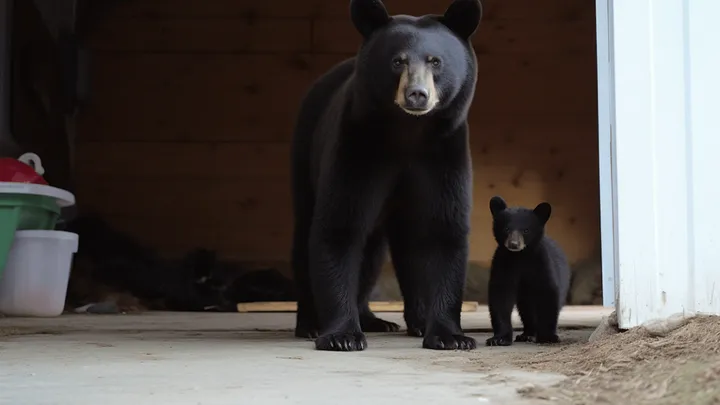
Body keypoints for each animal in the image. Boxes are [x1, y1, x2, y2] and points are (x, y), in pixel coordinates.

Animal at [289, 0, 483, 352]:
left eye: (436, 61)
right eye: (398, 61)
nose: (417, 94)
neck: (408, 132)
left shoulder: (444, 154)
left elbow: (444, 229)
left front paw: (450, 336)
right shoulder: (357, 147)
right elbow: (338, 227)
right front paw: (342, 335)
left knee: (387, 253)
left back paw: (395, 320)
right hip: (304, 150)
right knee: (306, 232)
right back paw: (310, 324)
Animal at [485, 196, 571, 346]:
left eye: (526, 230)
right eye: (506, 229)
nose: (514, 244)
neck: (520, 257)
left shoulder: (541, 263)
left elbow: (547, 294)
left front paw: (548, 337)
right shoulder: (503, 263)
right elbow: (500, 296)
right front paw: (499, 338)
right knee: (526, 310)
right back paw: (527, 334)